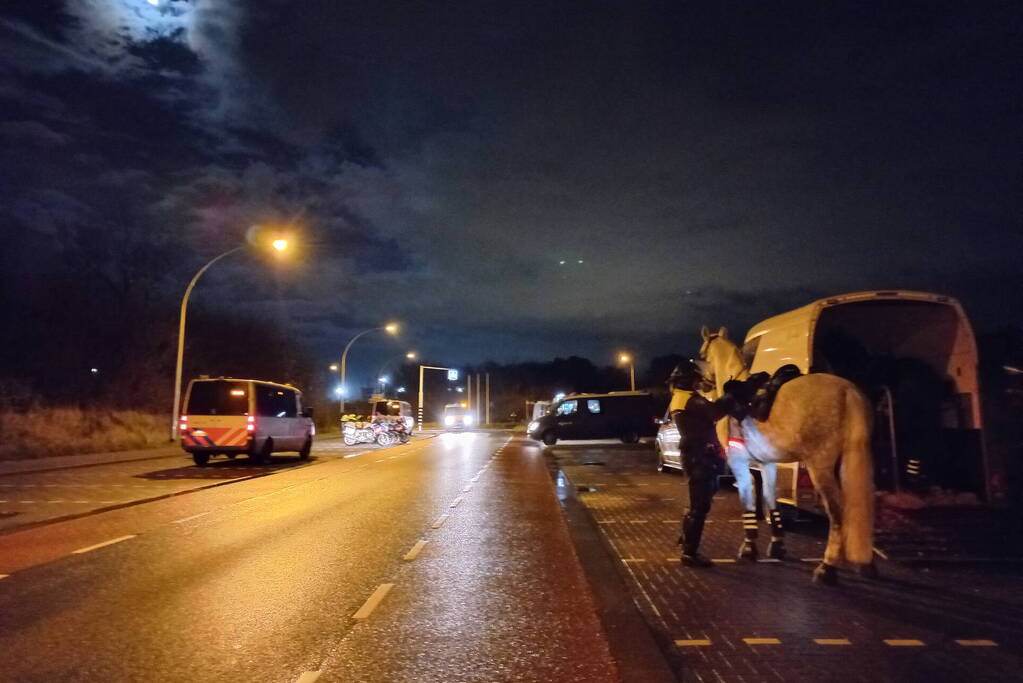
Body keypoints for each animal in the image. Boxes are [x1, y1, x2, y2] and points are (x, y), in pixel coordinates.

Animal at [703, 325, 879, 580]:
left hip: (820, 468)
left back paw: (827, 567)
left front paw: (748, 547)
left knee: (837, 512)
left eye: (702, 355)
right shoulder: (767, 464)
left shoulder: (740, 462)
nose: (703, 384)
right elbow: (771, 499)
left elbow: (748, 501)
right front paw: (777, 544)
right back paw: (865, 563)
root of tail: (848, 390)